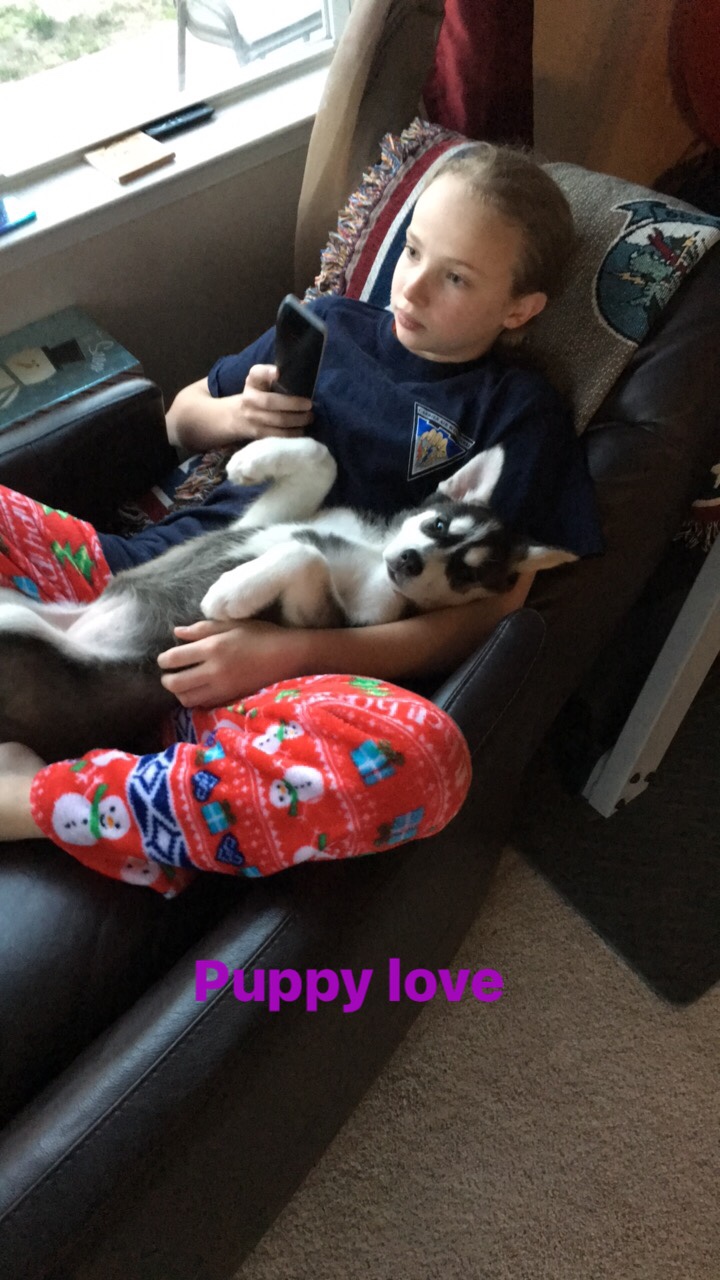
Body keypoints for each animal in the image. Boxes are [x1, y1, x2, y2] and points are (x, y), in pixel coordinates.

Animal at [0, 437, 576, 761]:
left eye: (463, 574)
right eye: (438, 526)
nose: (411, 562)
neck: (374, 550)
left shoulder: (337, 617)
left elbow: (306, 554)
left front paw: (232, 591)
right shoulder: (265, 520)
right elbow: (321, 459)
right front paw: (250, 460)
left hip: (24, 638)